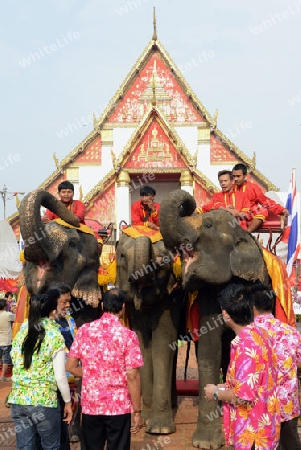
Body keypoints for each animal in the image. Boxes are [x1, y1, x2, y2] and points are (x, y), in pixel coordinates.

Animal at [115, 230, 184, 434]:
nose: (160, 260)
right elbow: (142, 343)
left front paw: (159, 430)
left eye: (166, 259)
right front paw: (144, 421)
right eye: (123, 255)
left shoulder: (172, 298)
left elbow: (163, 342)